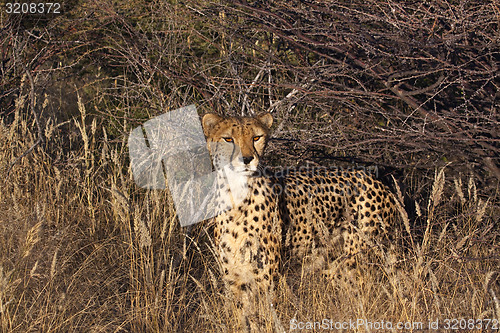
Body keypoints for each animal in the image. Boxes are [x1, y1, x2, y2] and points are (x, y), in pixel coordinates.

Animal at [201, 111, 400, 330]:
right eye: (228, 139)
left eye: (256, 138)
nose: (247, 159)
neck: (236, 194)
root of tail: (376, 180)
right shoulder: (235, 280)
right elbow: (243, 320)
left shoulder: (267, 279)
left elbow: (268, 317)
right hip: (335, 266)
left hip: (358, 260)